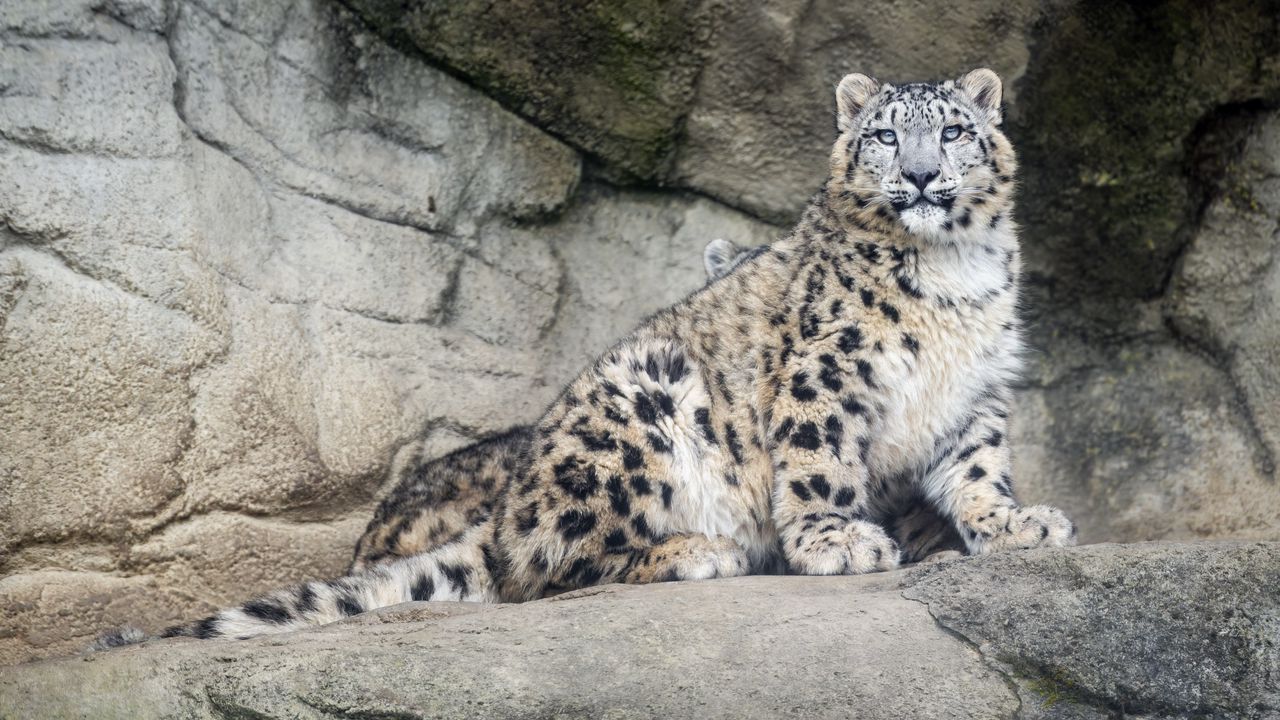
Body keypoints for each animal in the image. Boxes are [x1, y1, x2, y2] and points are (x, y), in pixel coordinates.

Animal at [161, 68, 1075, 640]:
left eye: (954, 131)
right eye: (884, 136)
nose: (919, 178)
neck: (951, 273)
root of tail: (506, 511)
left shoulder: (977, 387)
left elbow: (978, 468)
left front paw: (1017, 524)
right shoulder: (824, 364)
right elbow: (819, 456)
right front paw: (836, 540)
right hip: (640, 404)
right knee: (548, 566)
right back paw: (704, 550)